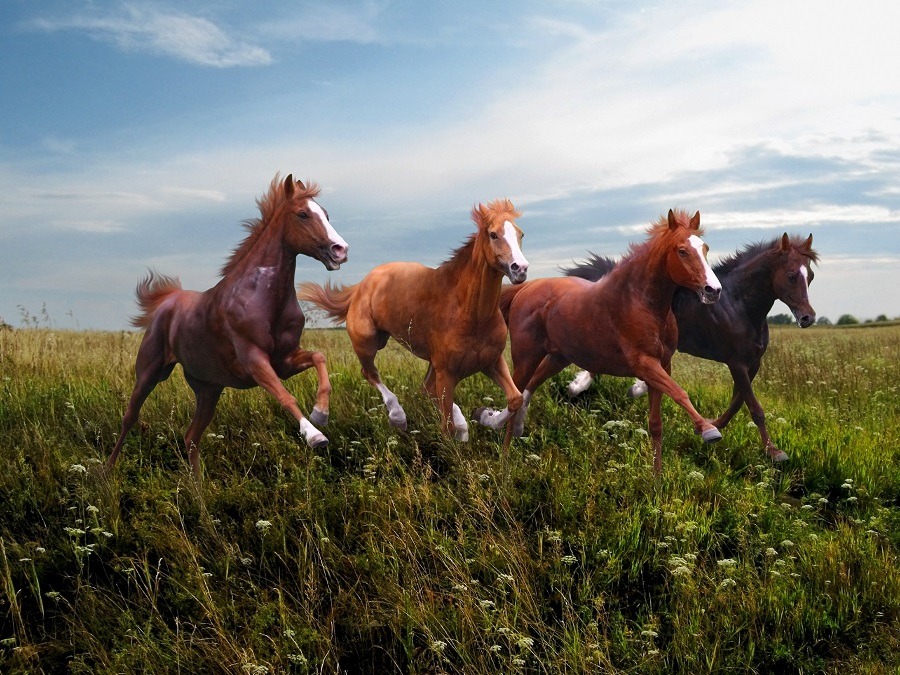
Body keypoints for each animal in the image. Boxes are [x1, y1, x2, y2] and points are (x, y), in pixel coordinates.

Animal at [107, 174, 350, 480]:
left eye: (326, 215)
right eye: (303, 214)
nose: (340, 250)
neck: (262, 298)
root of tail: (168, 300)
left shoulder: (284, 361)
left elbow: (319, 358)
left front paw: (321, 413)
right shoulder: (254, 360)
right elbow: (286, 397)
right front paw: (315, 435)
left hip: (208, 389)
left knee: (191, 437)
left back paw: (199, 489)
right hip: (150, 373)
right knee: (130, 418)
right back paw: (105, 473)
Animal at [300, 199, 528, 444]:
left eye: (520, 233)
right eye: (493, 234)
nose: (520, 269)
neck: (471, 313)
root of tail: (362, 285)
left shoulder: (491, 361)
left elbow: (515, 398)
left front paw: (486, 416)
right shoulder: (447, 372)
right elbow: (446, 428)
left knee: (426, 388)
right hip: (368, 342)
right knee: (371, 373)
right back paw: (395, 417)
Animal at [478, 210, 724, 476]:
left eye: (705, 248)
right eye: (682, 251)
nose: (713, 290)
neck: (639, 302)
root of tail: (525, 289)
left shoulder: (663, 365)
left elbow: (656, 424)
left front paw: (657, 479)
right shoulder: (645, 364)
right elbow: (680, 393)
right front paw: (709, 430)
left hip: (557, 358)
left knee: (527, 390)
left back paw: (510, 426)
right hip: (526, 357)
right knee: (515, 395)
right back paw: (503, 462)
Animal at [564, 231, 816, 460]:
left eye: (811, 276)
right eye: (792, 275)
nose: (808, 318)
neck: (739, 305)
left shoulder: (753, 363)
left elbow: (738, 402)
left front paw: (712, 424)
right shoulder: (736, 363)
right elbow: (754, 407)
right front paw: (774, 452)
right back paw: (578, 386)